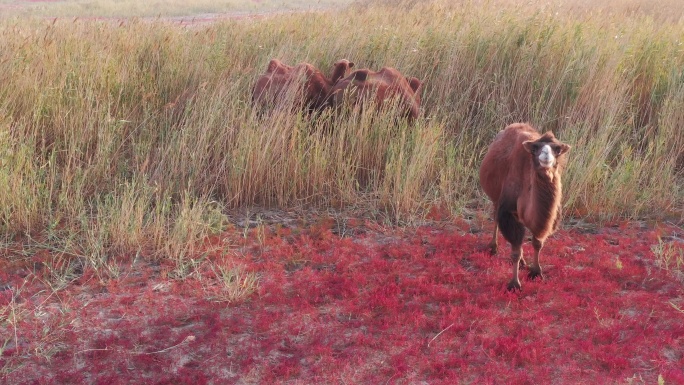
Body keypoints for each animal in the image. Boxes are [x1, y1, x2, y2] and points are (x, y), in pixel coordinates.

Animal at [480, 124, 572, 290]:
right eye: (535, 148)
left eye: (557, 149)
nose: (546, 155)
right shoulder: (508, 211)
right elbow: (515, 250)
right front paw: (514, 284)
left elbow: (537, 243)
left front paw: (536, 272)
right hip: (496, 198)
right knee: (496, 217)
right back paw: (493, 248)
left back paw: (523, 262)